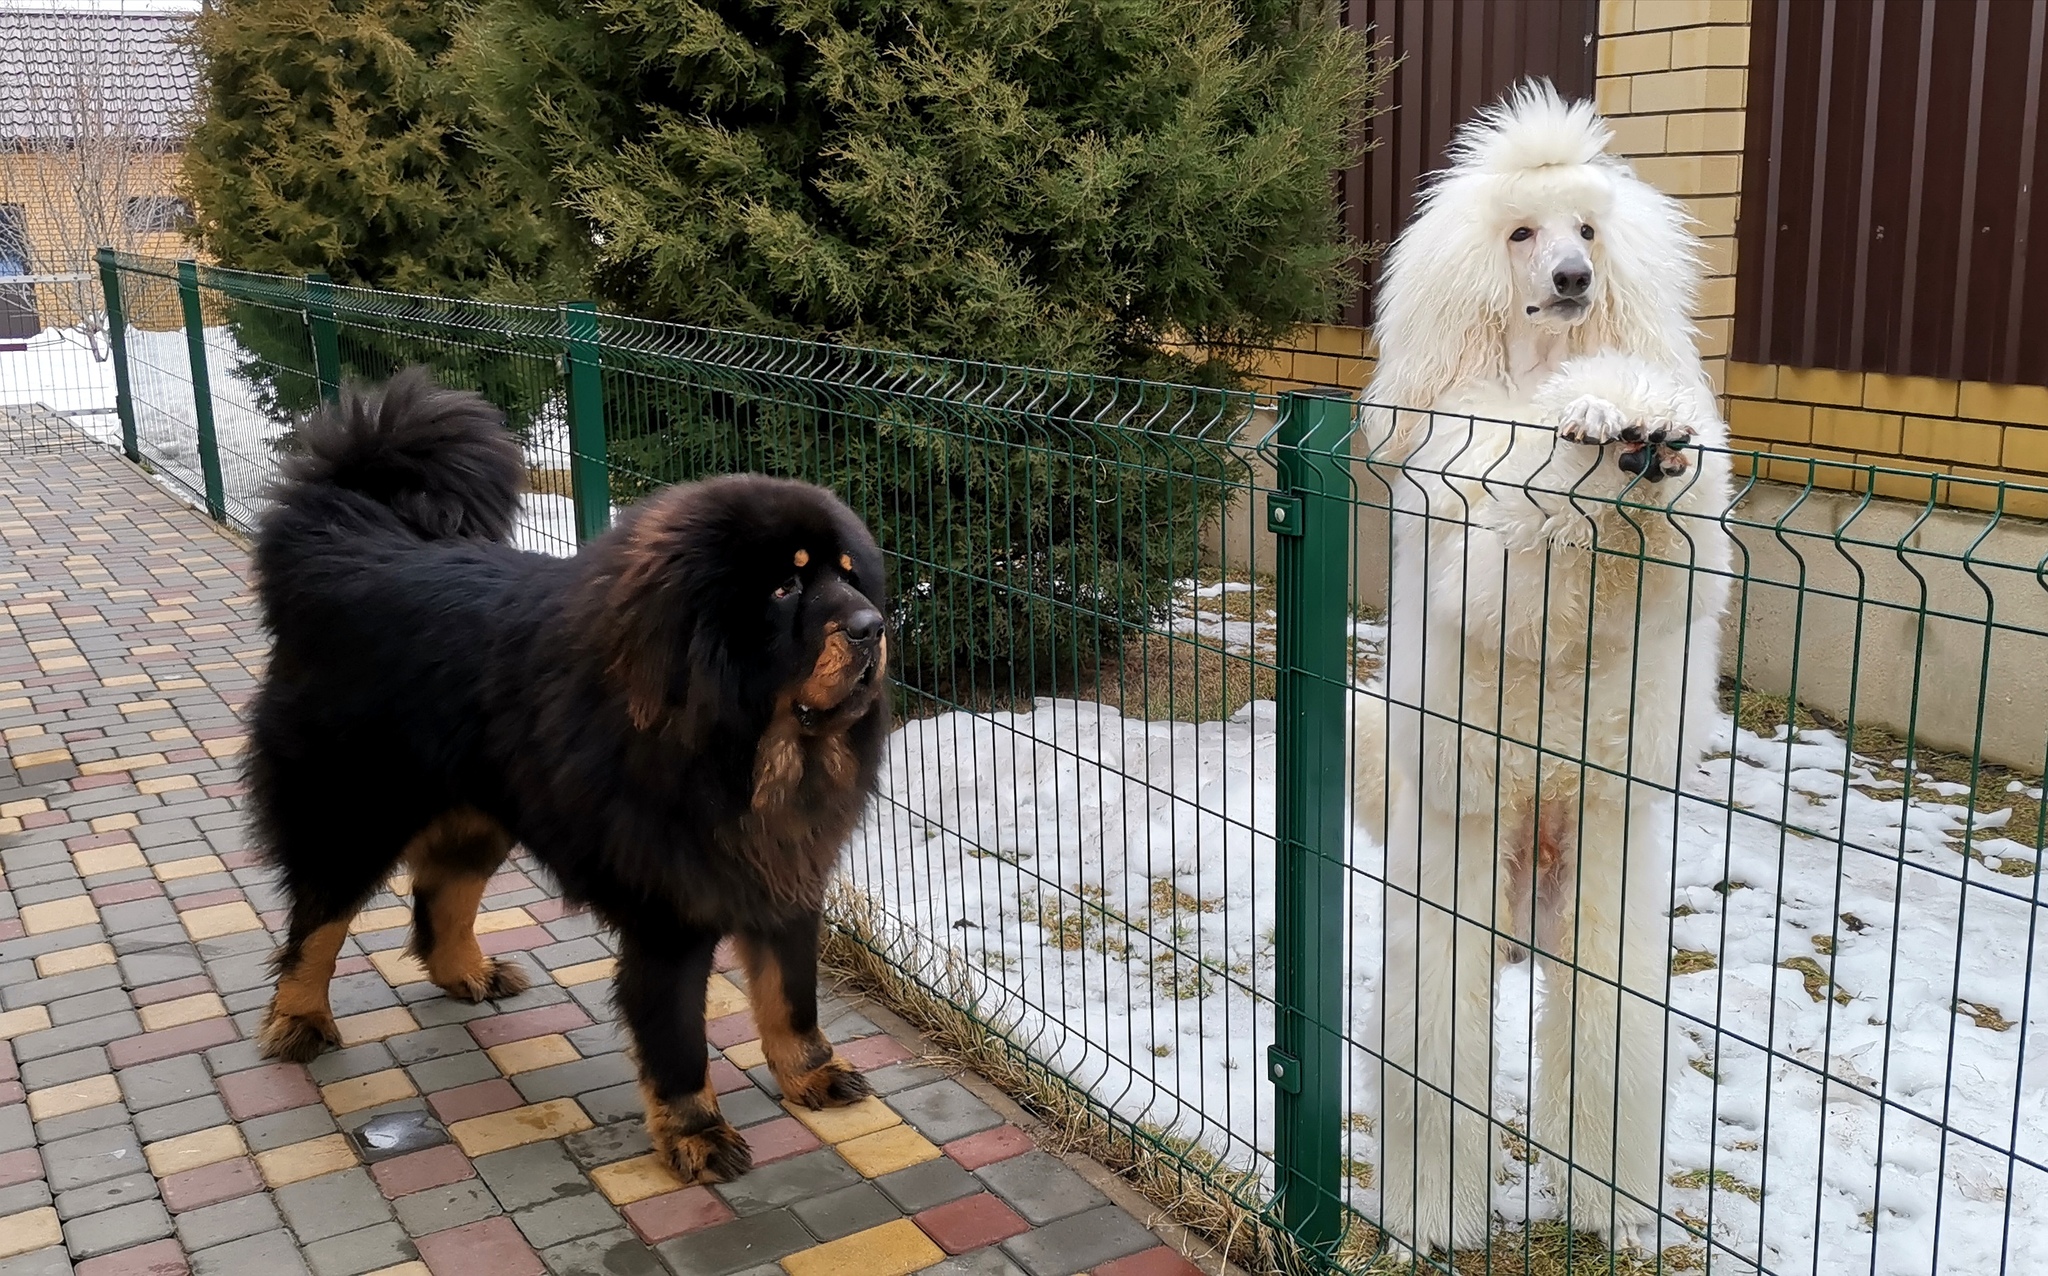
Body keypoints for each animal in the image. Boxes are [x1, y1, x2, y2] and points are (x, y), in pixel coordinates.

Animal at [245, 366, 888, 1179]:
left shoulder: (783, 875)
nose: (873, 626)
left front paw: (810, 1073)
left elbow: (791, 996)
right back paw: (298, 1018)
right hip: (355, 814)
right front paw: (696, 1133)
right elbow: (678, 1040)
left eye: (848, 576)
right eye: (784, 589)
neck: (743, 753)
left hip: (481, 811)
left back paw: (466, 972)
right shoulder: (671, 914)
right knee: (316, 923)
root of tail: (352, 543)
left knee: (439, 894)